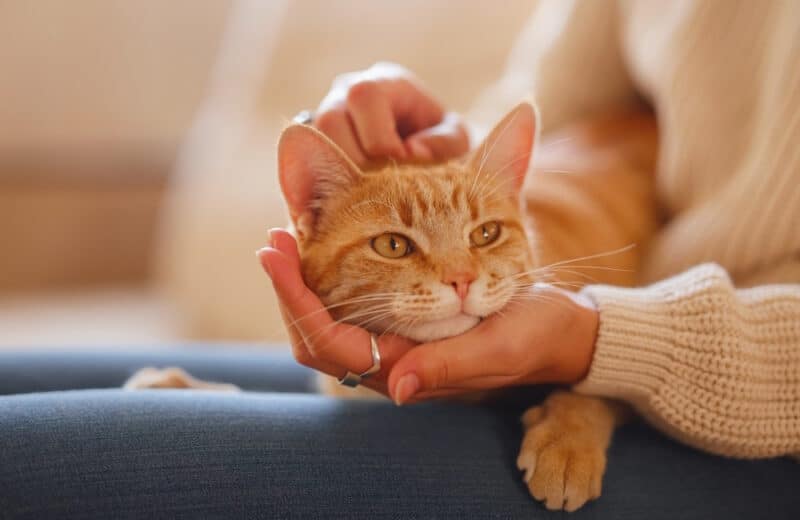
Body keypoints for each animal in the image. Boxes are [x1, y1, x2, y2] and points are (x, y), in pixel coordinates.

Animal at [128, 102, 660, 512]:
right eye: (392, 245)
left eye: (486, 234)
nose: (461, 279)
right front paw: (179, 384)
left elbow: (598, 386)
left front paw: (567, 441)